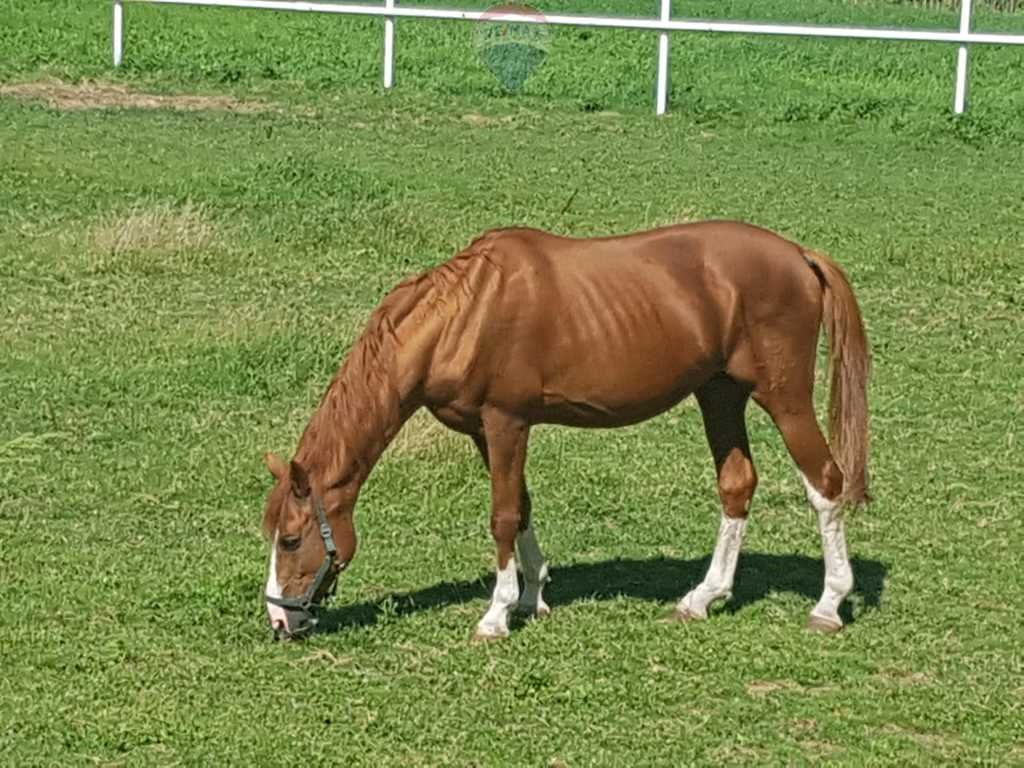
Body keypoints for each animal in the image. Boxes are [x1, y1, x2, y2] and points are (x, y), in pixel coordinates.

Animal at [260, 221, 868, 643]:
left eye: (290, 539)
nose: (279, 620)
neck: (465, 314)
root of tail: (799, 256)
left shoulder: (506, 422)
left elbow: (503, 516)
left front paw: (497, 613)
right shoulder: (484, 431)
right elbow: (522, 506)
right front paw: (533, 596)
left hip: (784, 400)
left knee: (826, 485)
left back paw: (828, 605)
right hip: (719, 395)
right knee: (737, 484)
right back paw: (703, 597)